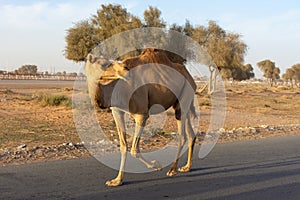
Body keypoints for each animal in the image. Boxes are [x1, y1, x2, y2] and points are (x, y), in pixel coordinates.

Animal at [84, 48, 197, 186]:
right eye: (103, 64)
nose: (125, 68)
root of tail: (190, 78)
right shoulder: (116, 111)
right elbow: (123, 146)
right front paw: (117, 180)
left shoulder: (141, 114)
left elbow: (134, 149)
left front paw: (156, 165)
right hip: (180, 105)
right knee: (190, 133)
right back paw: (186, 167)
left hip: (185, 94)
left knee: (182, 136)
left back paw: (172, 170)